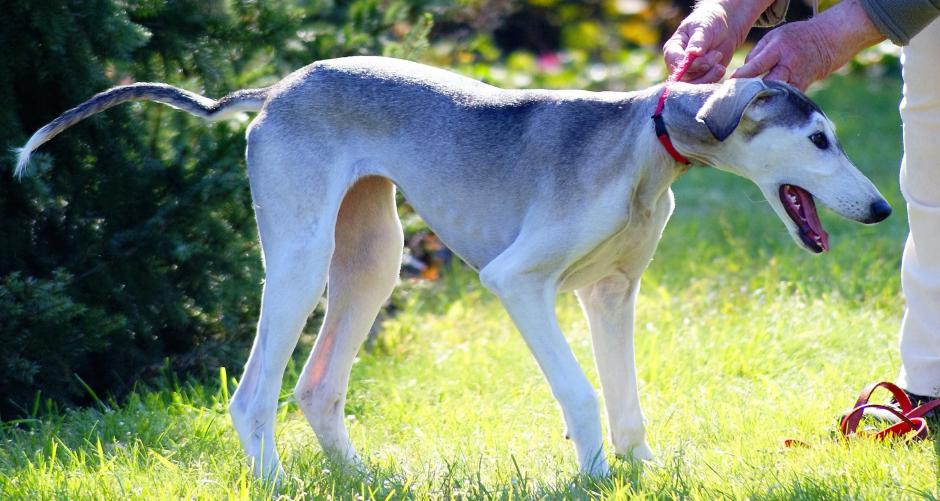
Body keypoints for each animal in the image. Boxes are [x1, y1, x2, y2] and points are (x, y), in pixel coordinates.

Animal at [14, 54, 888, 476]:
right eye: (818, 140)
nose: (882, 209)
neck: (644, 140)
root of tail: (275, 90)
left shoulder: (613, 294)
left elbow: (627, 399)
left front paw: (640, 469)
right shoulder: (519, 283)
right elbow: (581, 390)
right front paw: (596, 474)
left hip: (371, 259)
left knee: (316, 385)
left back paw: (362, 478)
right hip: (298, 260)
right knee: (254, 392)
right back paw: (276, 479)